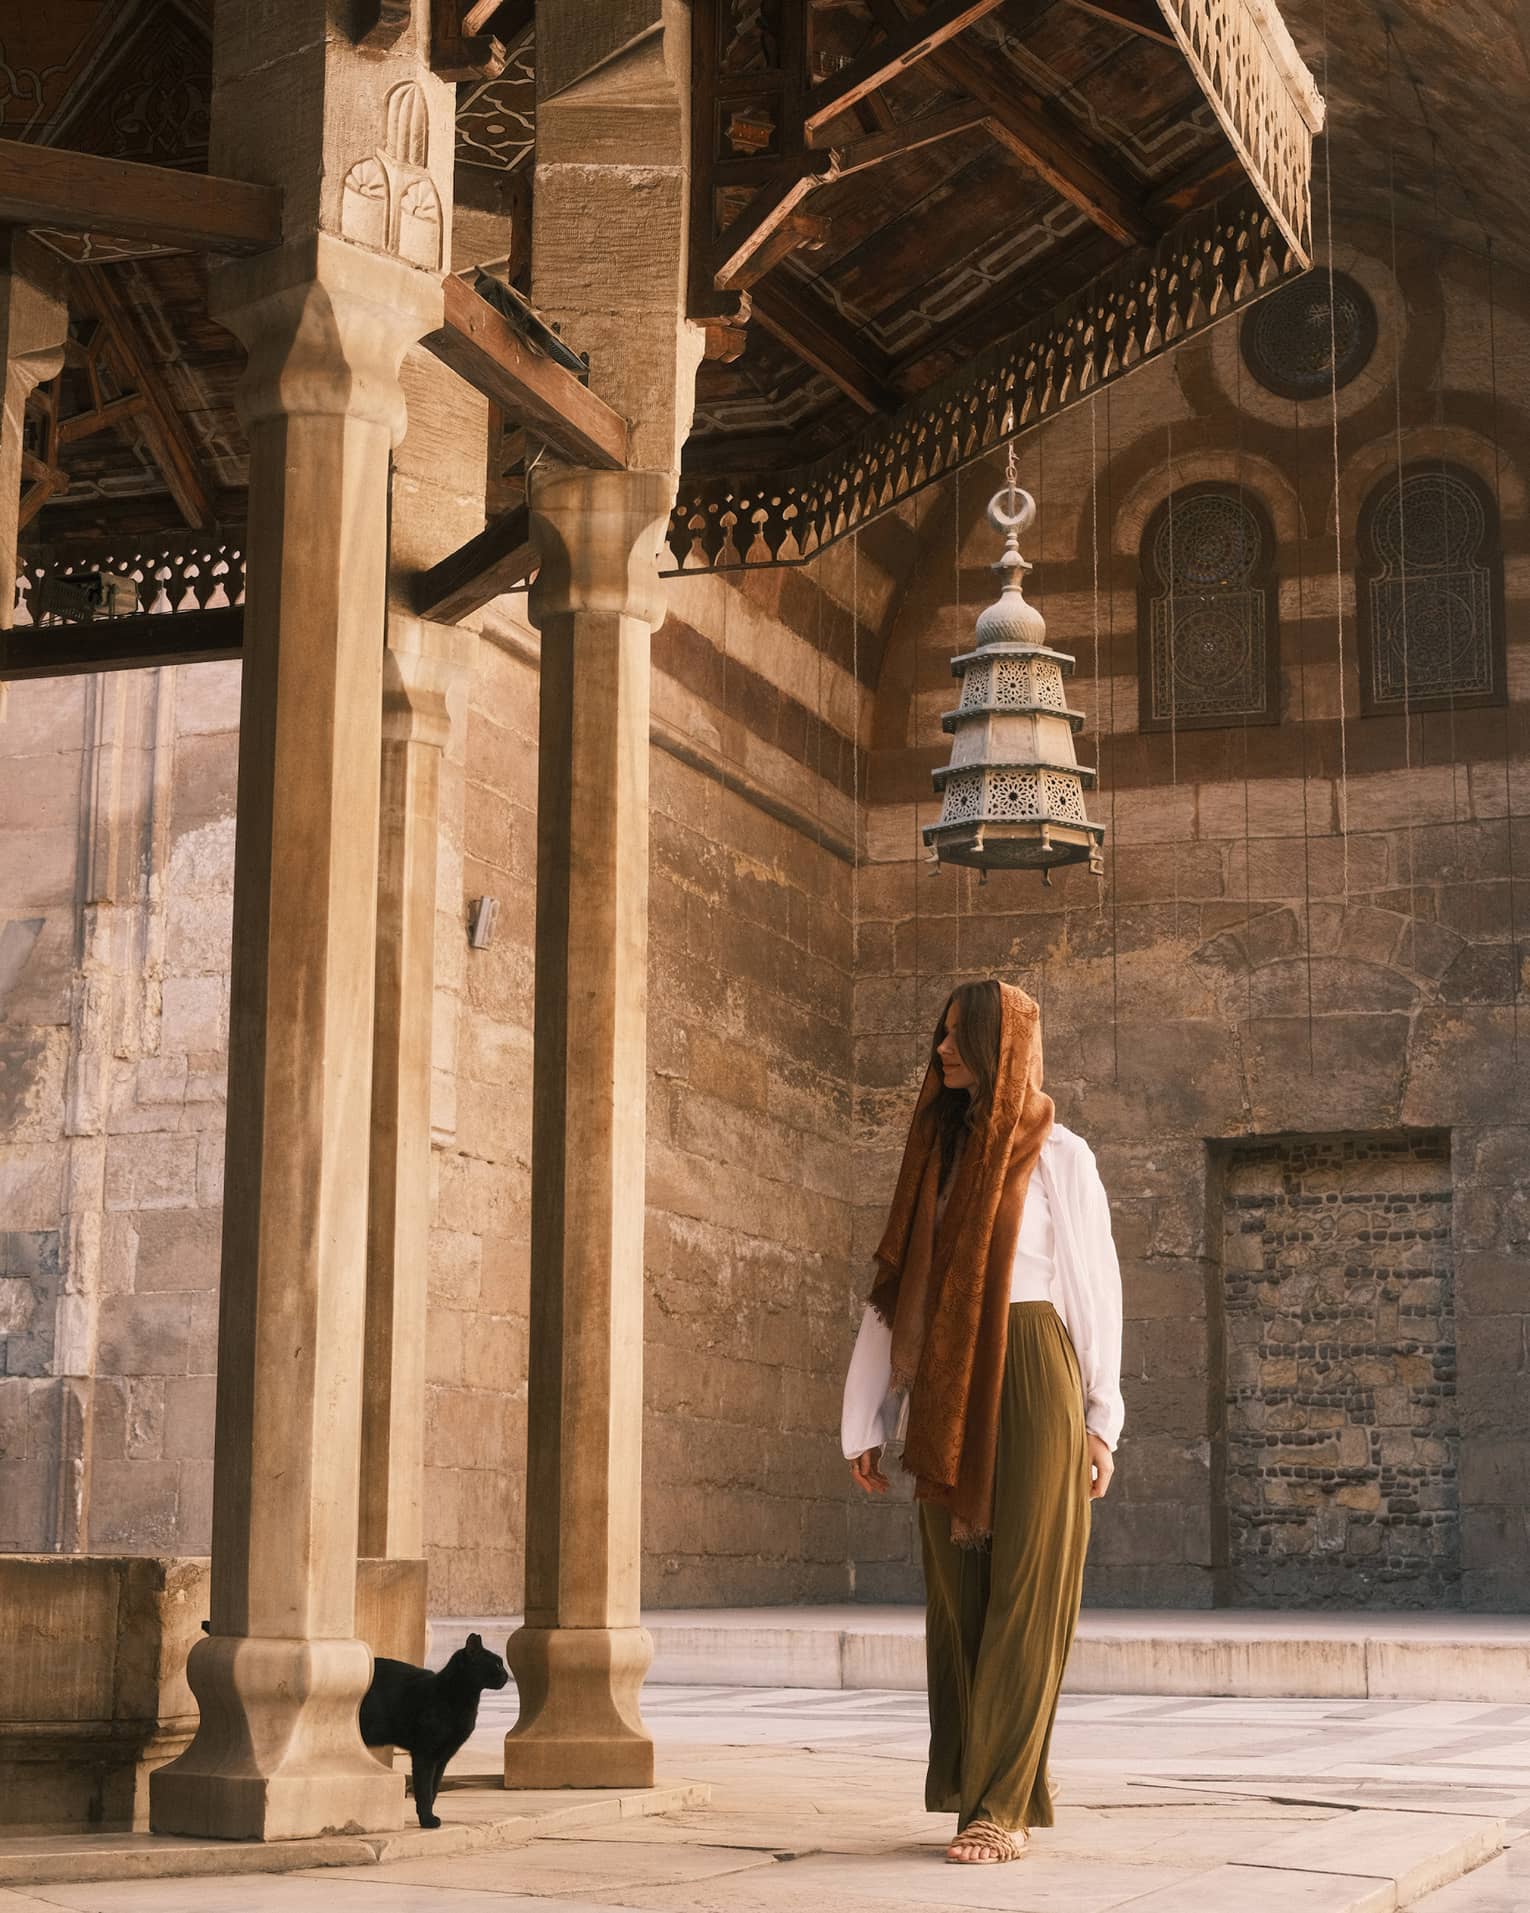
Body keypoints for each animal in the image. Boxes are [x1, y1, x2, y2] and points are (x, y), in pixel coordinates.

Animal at [357, 1637, 508, 1828]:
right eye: (497, 1664)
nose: (507, 1676)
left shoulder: (443, 1757)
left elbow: (433, 1788)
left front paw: (427, 1817)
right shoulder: (425, 1754)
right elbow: (424, 1788)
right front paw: (427, 1820)